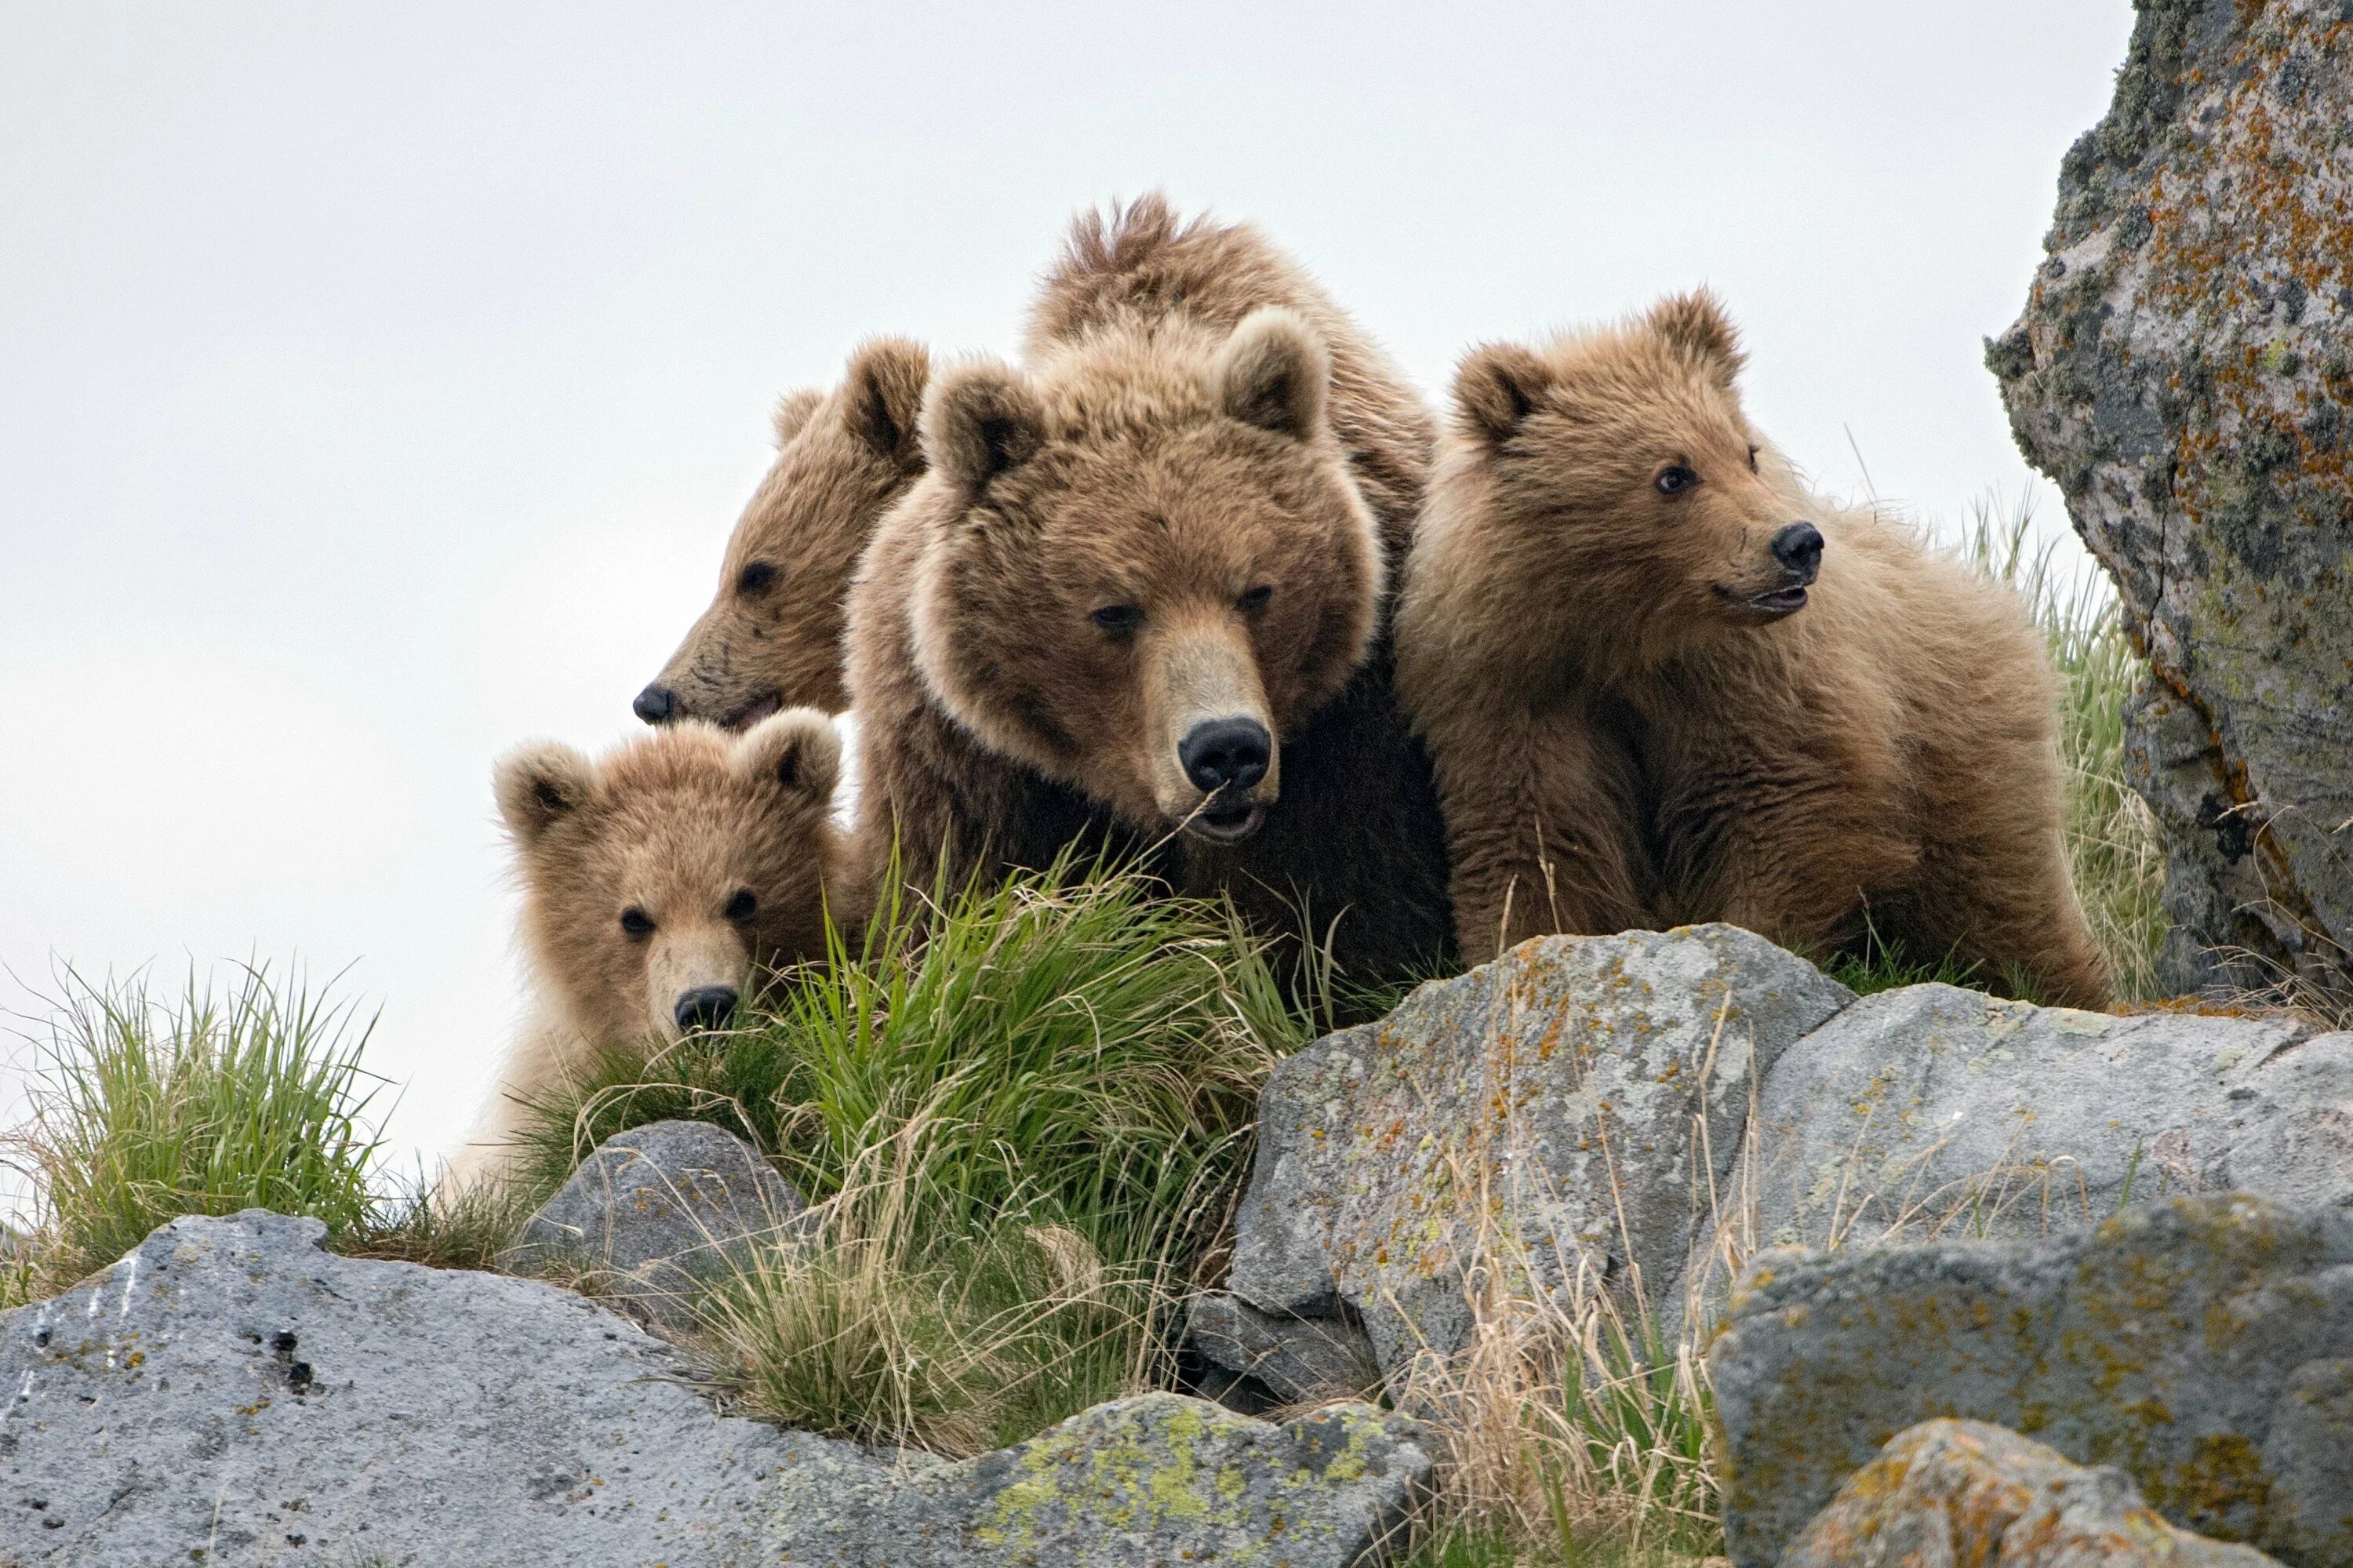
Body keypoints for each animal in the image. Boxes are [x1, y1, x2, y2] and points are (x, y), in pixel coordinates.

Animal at [847, 191, 1449, 979]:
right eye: (1114, 610)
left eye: (1256, 590)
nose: (1226, 751)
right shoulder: (967, 759)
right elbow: (955, 900)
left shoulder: (1355, 733)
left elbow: (1358, 912)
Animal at [1393, 292, 2118, 1002]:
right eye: (1673, 474)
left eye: (1745, 452)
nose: (1798, 542)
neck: (1627, 635)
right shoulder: (1516, 690)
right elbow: (1538, 836)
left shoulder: (1750, 680)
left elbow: (1778, 802)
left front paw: (1750, 943)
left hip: (1963, 752)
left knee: (2000, 898)